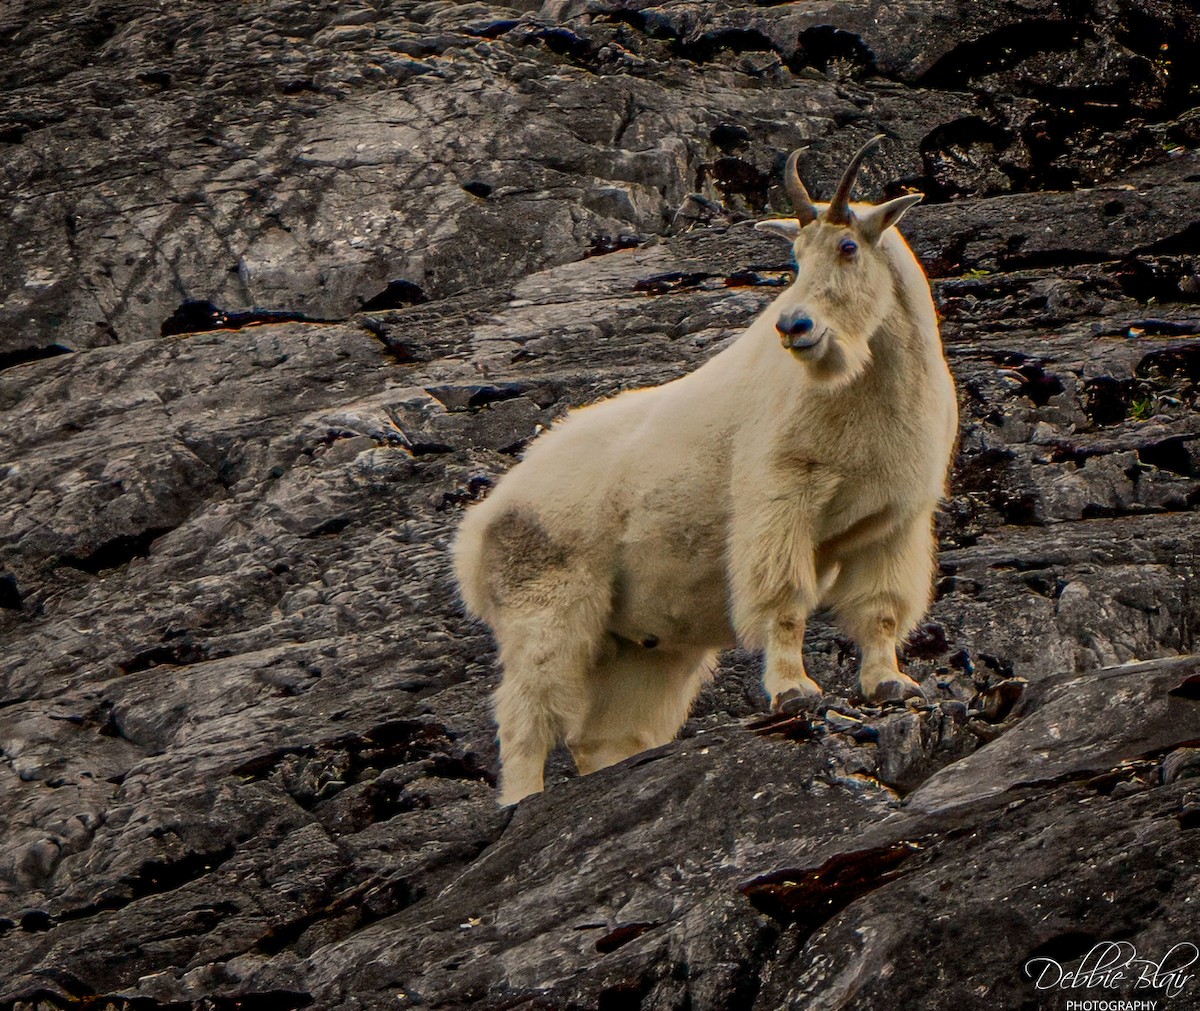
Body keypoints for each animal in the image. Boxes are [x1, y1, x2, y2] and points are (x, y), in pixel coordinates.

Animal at [454, 136, 958, 805]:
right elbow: (784, 597)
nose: (793, 326)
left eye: (848, 247)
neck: (866, 388)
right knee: (526, 714)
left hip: (640, 647)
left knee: (606, 734)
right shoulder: (781, 494)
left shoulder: (896, 518)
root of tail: (477, 530)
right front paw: (795, 691)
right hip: (545, 606)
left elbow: (880, 608)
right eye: (795, 255)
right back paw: (523, 800)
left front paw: (891, 685)